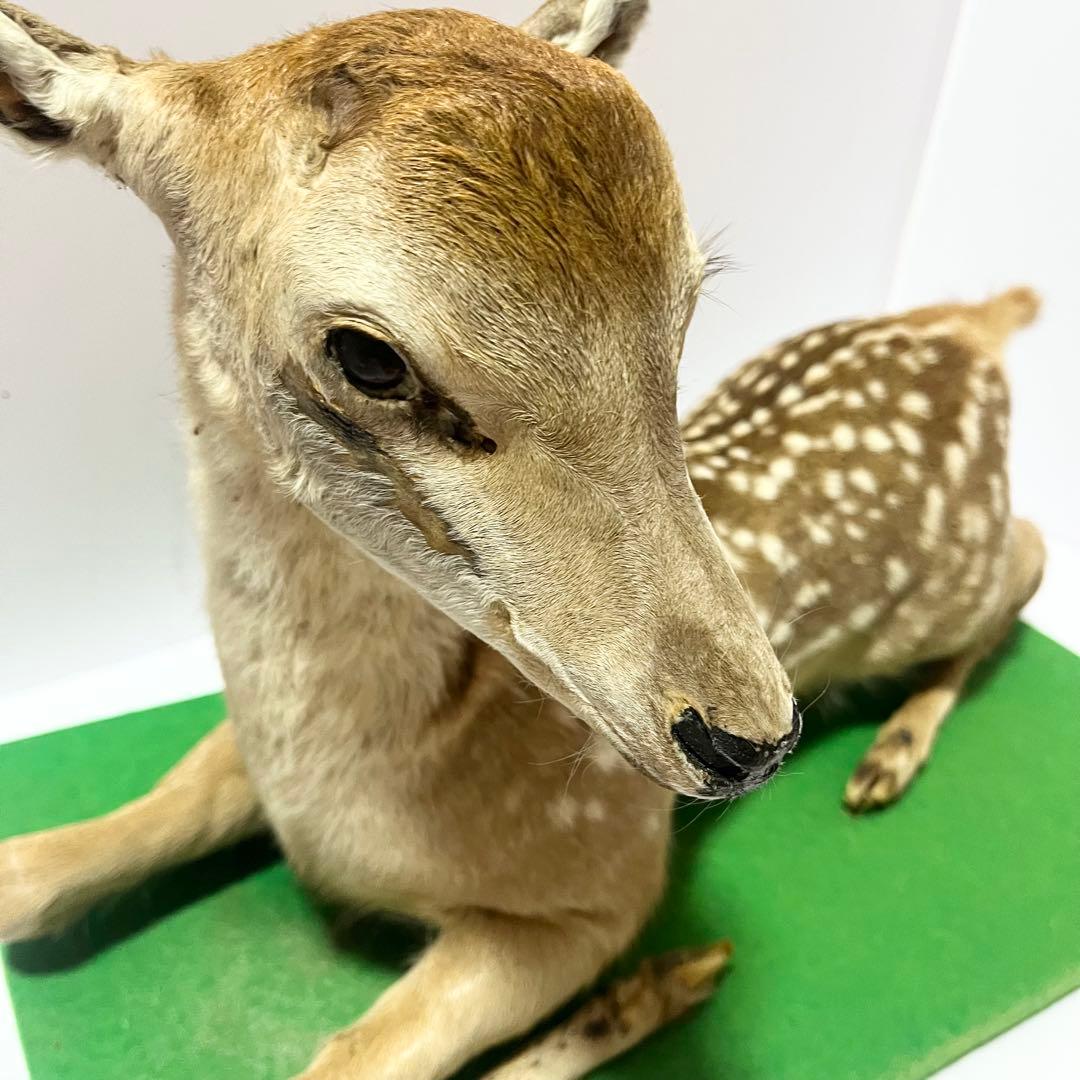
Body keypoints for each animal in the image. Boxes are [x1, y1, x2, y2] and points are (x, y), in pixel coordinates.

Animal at [0, 0, 1043, 1077]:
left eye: (687, 306)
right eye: (368, 357)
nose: (752, 738)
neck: (349, 799)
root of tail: (974, 329)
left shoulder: (599, 887)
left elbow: (358, 1057)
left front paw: (658, 986)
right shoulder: (240, 754)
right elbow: (26, 870)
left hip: (942, 586)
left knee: (1032, 552)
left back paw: (887, 758)